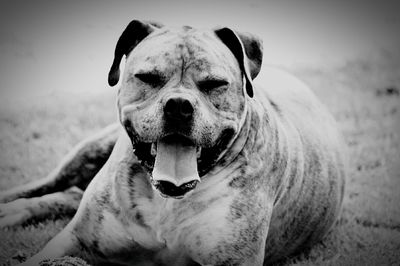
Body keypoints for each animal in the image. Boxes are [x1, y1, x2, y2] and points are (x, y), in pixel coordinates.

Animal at [0, 19, 346, 264]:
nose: (179, 105)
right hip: (88, 151)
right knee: (50, 185)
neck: (166, 200)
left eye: (215, 84)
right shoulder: (75, 240)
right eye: (148, 77)